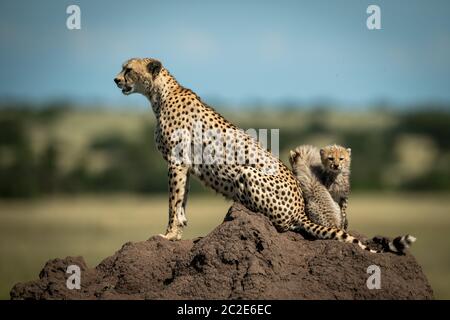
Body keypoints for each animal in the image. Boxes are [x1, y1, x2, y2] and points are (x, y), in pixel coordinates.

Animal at [115, 57, 380, 252]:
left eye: (128, 69)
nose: (115, 79)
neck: (160, 95)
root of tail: (301, 209)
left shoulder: (176, 161)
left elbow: (174, 201)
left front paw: (169, 235)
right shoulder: (184, 164)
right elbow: (182, 201)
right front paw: (177, 232)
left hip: (247, 172)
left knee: (283, 225)